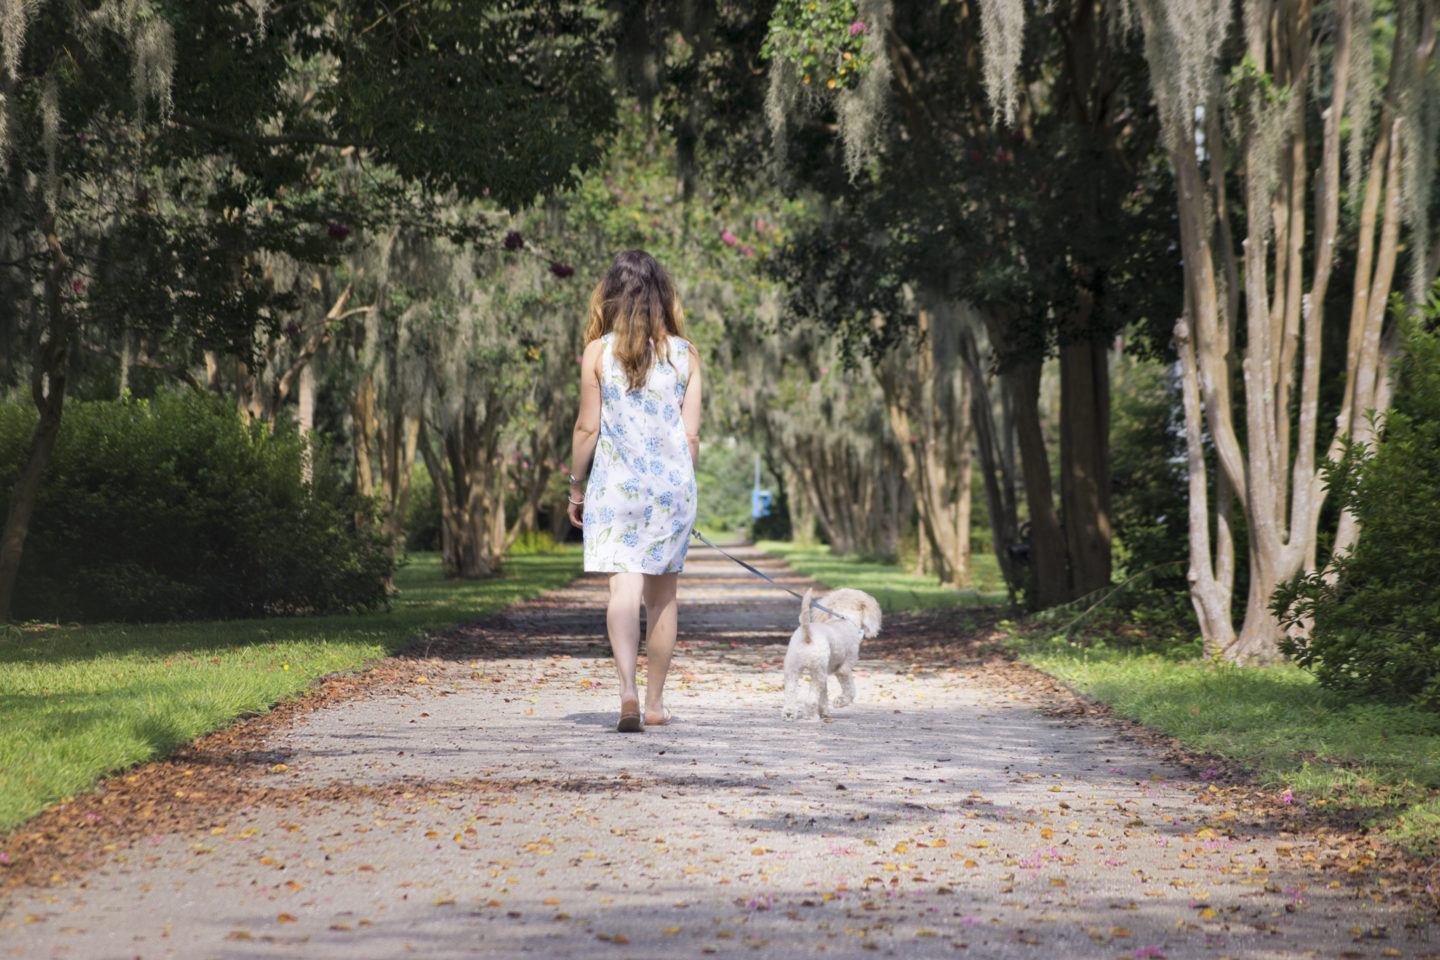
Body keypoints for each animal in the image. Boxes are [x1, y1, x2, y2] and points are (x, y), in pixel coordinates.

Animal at [789, 587, 875, 719]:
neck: (844, 619)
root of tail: (807, 635)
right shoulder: (844, 668)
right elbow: (850, 689)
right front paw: (840, 701)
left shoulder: (827, 670)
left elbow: (823, 694)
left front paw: (824, 711)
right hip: (818, 672)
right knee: (810, 699)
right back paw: (811, 716)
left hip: (792, 669)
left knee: (790, 693)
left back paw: (788, 713)